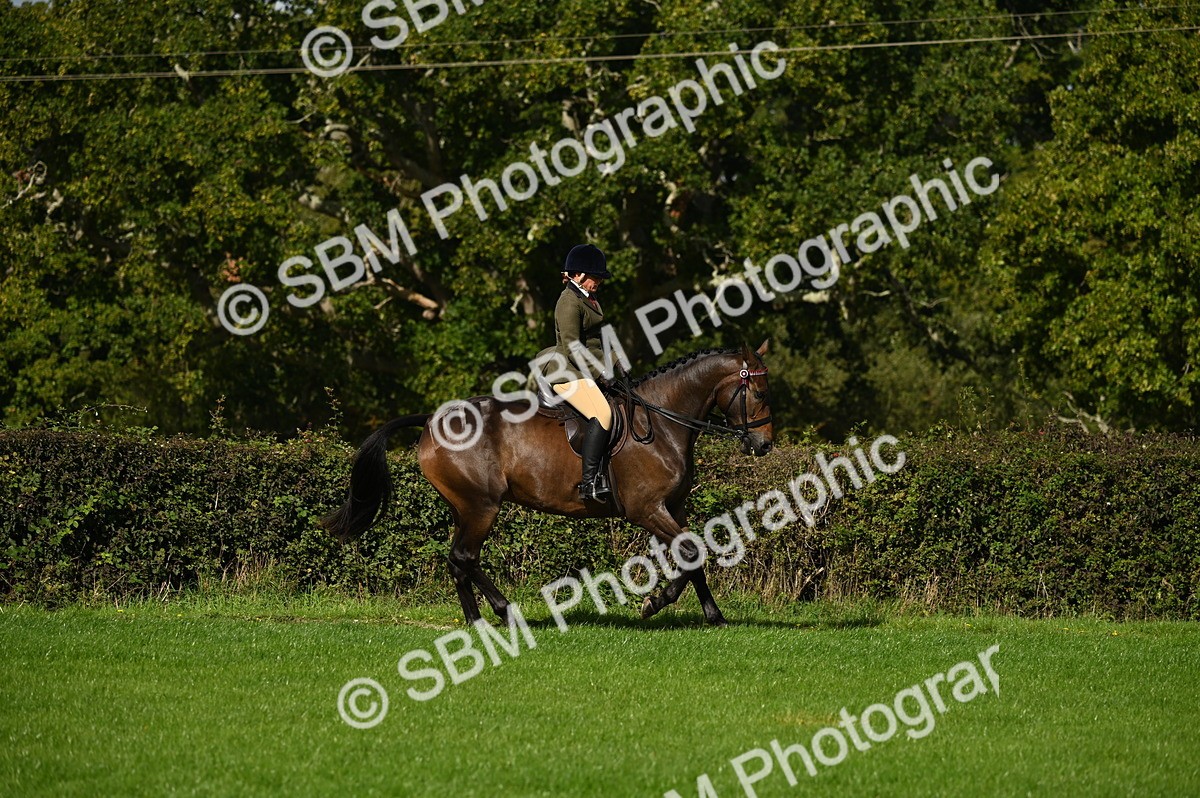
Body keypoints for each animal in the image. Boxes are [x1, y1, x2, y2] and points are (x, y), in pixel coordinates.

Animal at [322, 341, 774, 626]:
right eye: (758, 393)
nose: (765, 444)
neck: (662, 423)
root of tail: (434, 419)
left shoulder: (672, 507)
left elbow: (692, 553)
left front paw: (709, 613)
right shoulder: (647, 509)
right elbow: (693, 551)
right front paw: (656, 603)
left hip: (465, 507)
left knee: (460, 559)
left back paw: (482, 617)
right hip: (481, 506)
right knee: (465, 557)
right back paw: (497, 615)